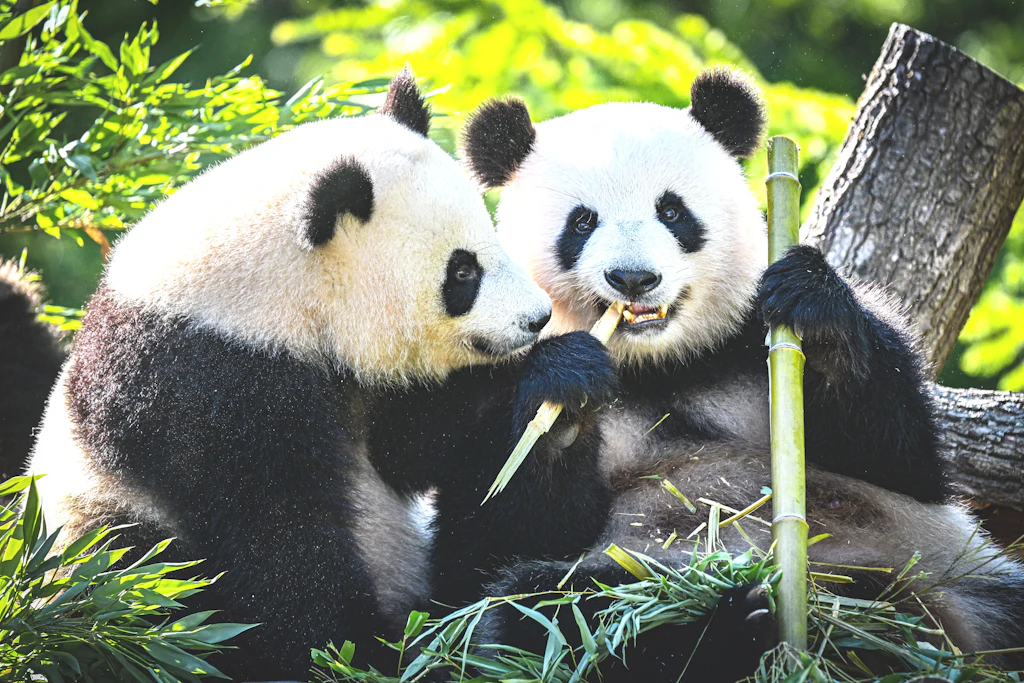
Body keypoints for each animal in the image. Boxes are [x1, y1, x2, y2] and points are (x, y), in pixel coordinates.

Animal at [27, 68, 618, 680]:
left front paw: (562, 392)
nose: (537, 317)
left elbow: (437, 454)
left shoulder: (368, 387)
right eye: (462, 272)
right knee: (149, 588)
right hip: (104, 544)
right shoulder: (206, 384)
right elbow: (280, 540)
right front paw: (352, 653)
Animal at [459, 67, 1024, 680]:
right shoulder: (485, 385)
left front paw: (816, 309)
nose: (633, 278)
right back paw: (741, 623)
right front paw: (564, 399)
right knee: (549, 611)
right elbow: (502, 530)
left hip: (954, 568)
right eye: (582, 222)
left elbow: (899, 457)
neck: (660, 363)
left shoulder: (749, 340)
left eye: (672, 212)